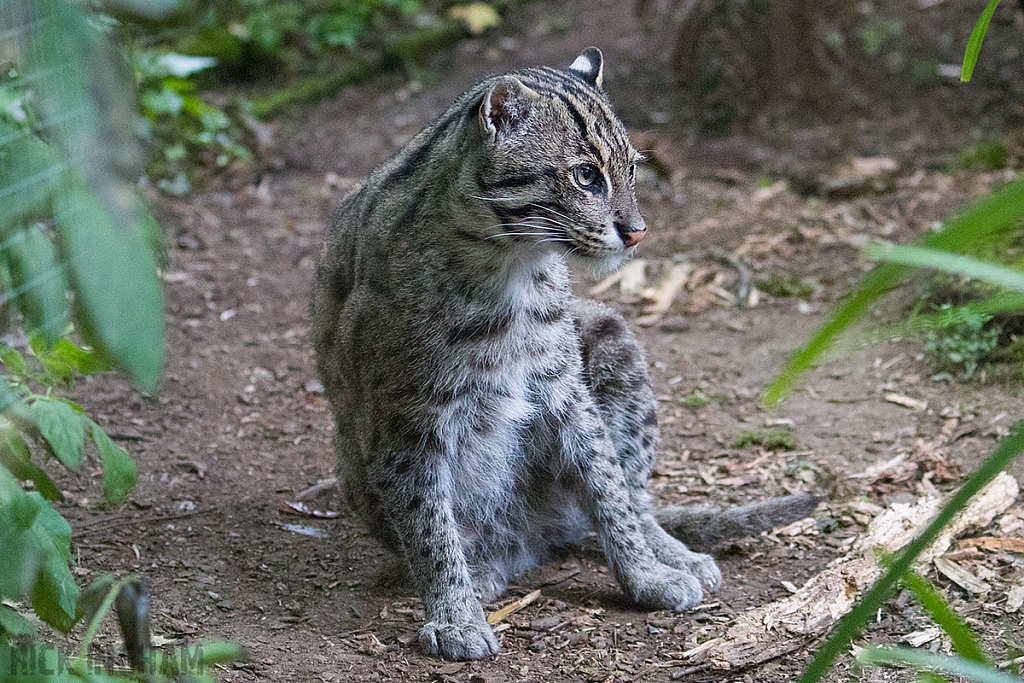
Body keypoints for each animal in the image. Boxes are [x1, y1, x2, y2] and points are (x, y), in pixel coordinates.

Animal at [309, 46, 815, 655]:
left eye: (631, 170)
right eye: (585, 175)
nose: (638, 231)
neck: (508, 264)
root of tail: (542, 535)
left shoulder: (564, 390)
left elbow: (609, 485)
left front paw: (646, 574)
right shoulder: (406, 421)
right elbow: (430, 524)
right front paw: (455, 615)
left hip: (608, 333)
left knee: (632, 491)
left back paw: (672, 552)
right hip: (355, 466)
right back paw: (486, 567)